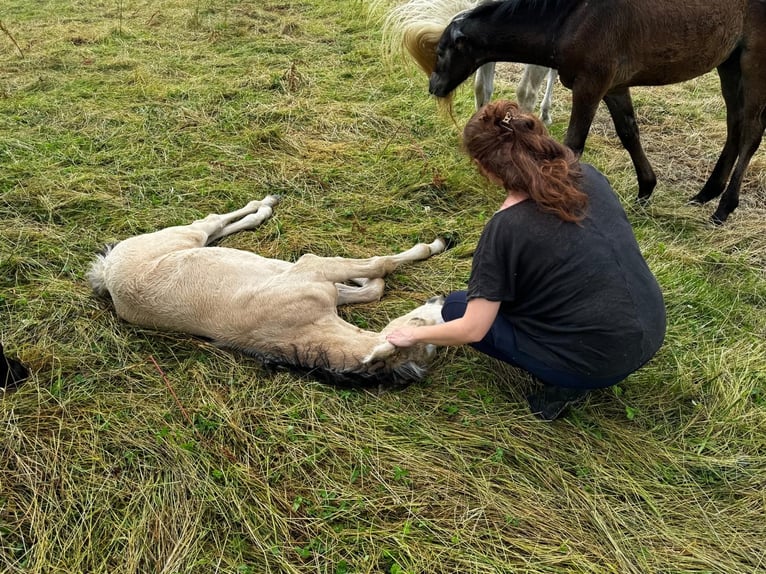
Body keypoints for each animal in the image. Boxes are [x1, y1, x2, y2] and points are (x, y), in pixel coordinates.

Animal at [88, 198, 450, 392]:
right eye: (421, 324)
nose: (442, 300)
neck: (296, 328)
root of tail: (106, 272)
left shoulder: (324, 288)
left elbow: (372, 288)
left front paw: (362, 278)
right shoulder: (312, 268)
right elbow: (380, 266)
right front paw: (436, 244)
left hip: (193, 243)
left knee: (217, 231)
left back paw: (262, 211)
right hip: (181, 236)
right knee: (210, 222)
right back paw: (263, 205)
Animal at [396, 0, 766, 225]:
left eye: (442, 51)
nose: (434, 86)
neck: (574, 17)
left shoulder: (590, 86)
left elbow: (573, 144)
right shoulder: (614, 86)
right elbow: (628, 131)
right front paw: (646, 189)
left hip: (753, 62)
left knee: (751, 129)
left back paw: (724, 207)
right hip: (728, 63)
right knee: (734, 124)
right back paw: (706, 193)